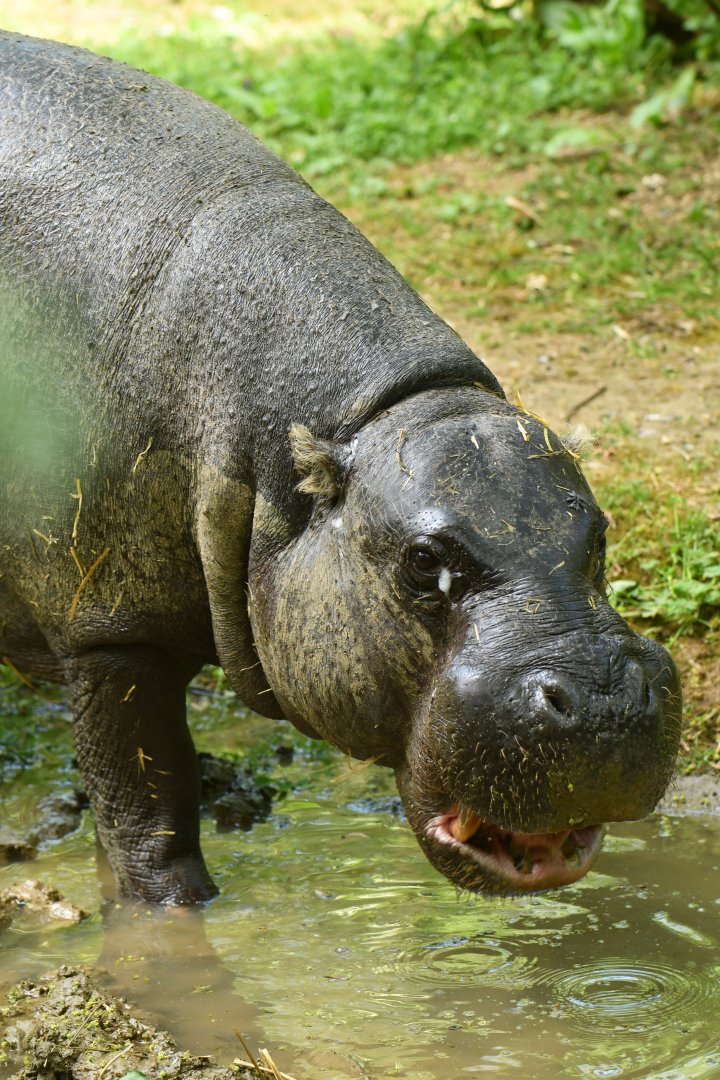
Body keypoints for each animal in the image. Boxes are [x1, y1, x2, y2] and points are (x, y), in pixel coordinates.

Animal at [0, 32, 681, 904]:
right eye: (422, 562)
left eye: (597, 532)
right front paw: (174, 916)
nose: (601, 702)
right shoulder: (109, 628)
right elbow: (146, 816)